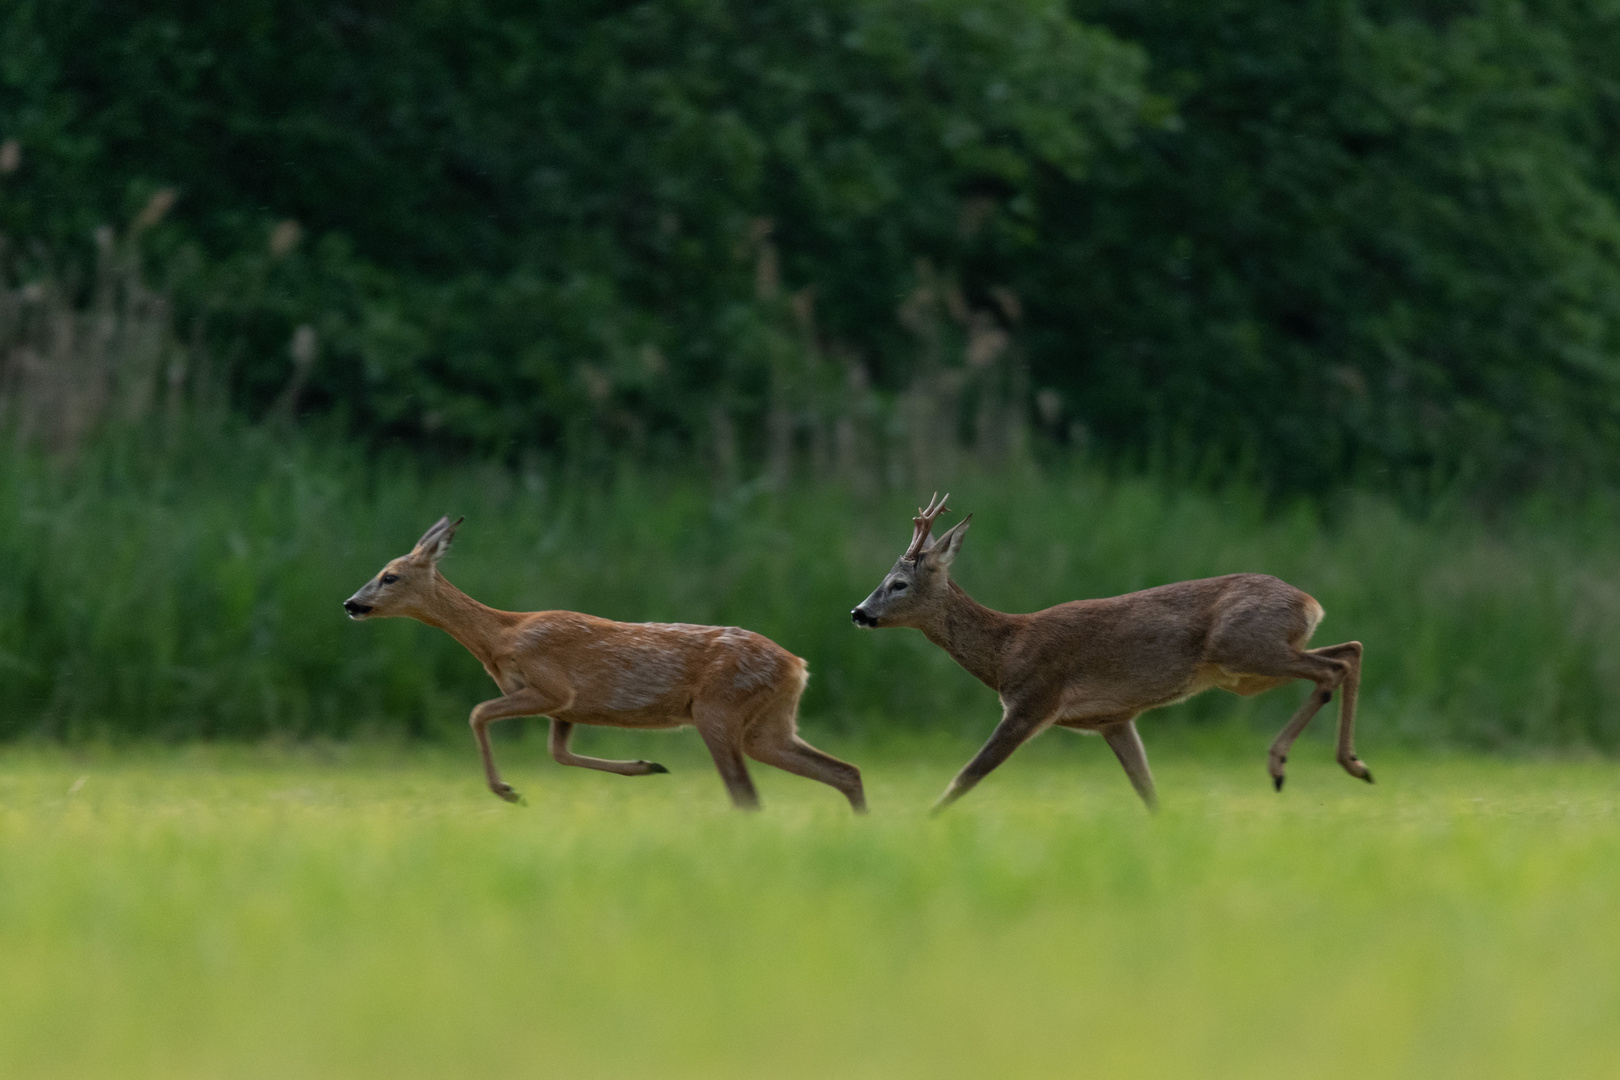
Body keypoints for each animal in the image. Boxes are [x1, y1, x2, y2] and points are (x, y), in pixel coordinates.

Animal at [346, 518, 868, 809]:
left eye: (389, 576)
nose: (351, 604)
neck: (501, 637)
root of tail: (798, 665)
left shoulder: (552, 687)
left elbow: (478, 713)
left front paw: (508, 791)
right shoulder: (565, 708)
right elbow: (558, 752)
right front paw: (646, 765)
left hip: (719, 709)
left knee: (746, 794)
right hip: (768, 725)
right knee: (844, 771)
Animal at [848, 495, 1367, 809]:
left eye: (898, 583)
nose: (858, 612)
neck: (1005, 649)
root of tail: (1310, 602)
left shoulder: (1032, 701)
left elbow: (966, 776)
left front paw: (923, 824)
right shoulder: (1112, 719)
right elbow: (1146, 788)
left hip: (1241, 647)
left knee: (1333, 666)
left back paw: (1290, 764)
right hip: (1248, 669)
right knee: (1351, 649)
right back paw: (1352, 764)